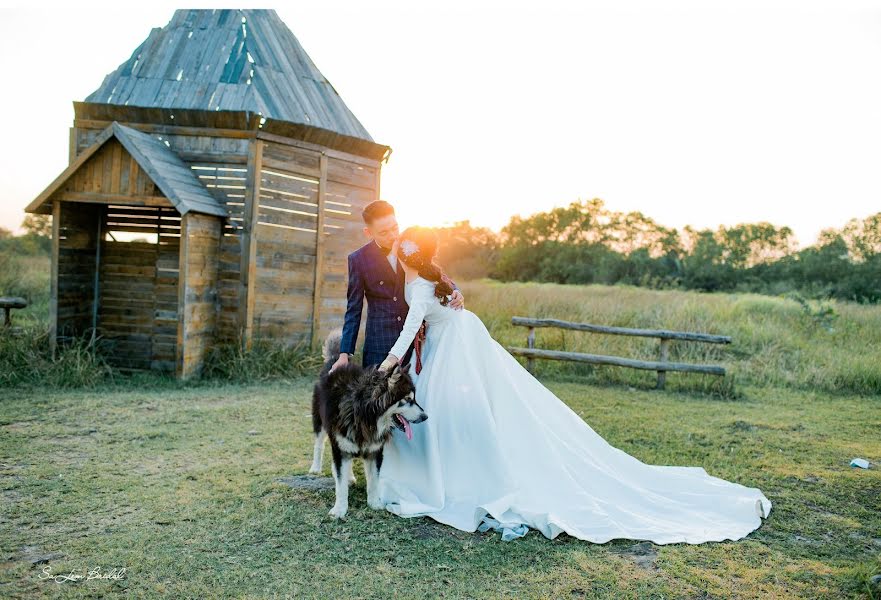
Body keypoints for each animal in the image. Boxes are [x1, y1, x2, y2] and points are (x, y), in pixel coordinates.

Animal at [310, 330, 426, 516]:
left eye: (414, 399)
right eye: (408, 400)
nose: (425, 416)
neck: (365, 415)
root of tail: (334, 360)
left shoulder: (374, 451)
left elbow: (374, 482)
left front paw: (374, 503)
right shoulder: (340, 447)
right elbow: (340, 485)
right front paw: (339, 509)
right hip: (320, 422)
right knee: (319, 444)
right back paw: (315, 467)